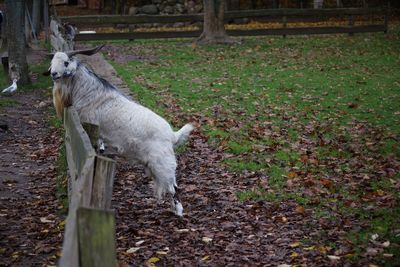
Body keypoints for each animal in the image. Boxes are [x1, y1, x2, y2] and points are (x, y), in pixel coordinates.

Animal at [44, 46, 193, 217]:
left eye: (66, 62)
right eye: (52, 62)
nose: (53, 74)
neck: (90, 92)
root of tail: (173, 135)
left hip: (163, 164)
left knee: (173, 187)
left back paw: (178, 211)